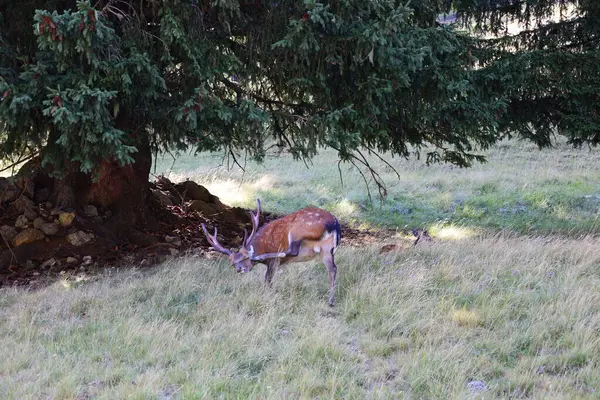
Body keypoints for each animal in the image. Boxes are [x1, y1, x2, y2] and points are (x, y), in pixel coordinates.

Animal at [202, 199, 342, 306]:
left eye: (244, 258)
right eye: (232, 263)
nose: (239, 269)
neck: (263, 244)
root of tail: (334, 224)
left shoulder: (273, 261)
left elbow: (267, 278)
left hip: (297, 230)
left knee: (292, 251)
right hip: (327, 250)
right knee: (333, 269)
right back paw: (331, 300)